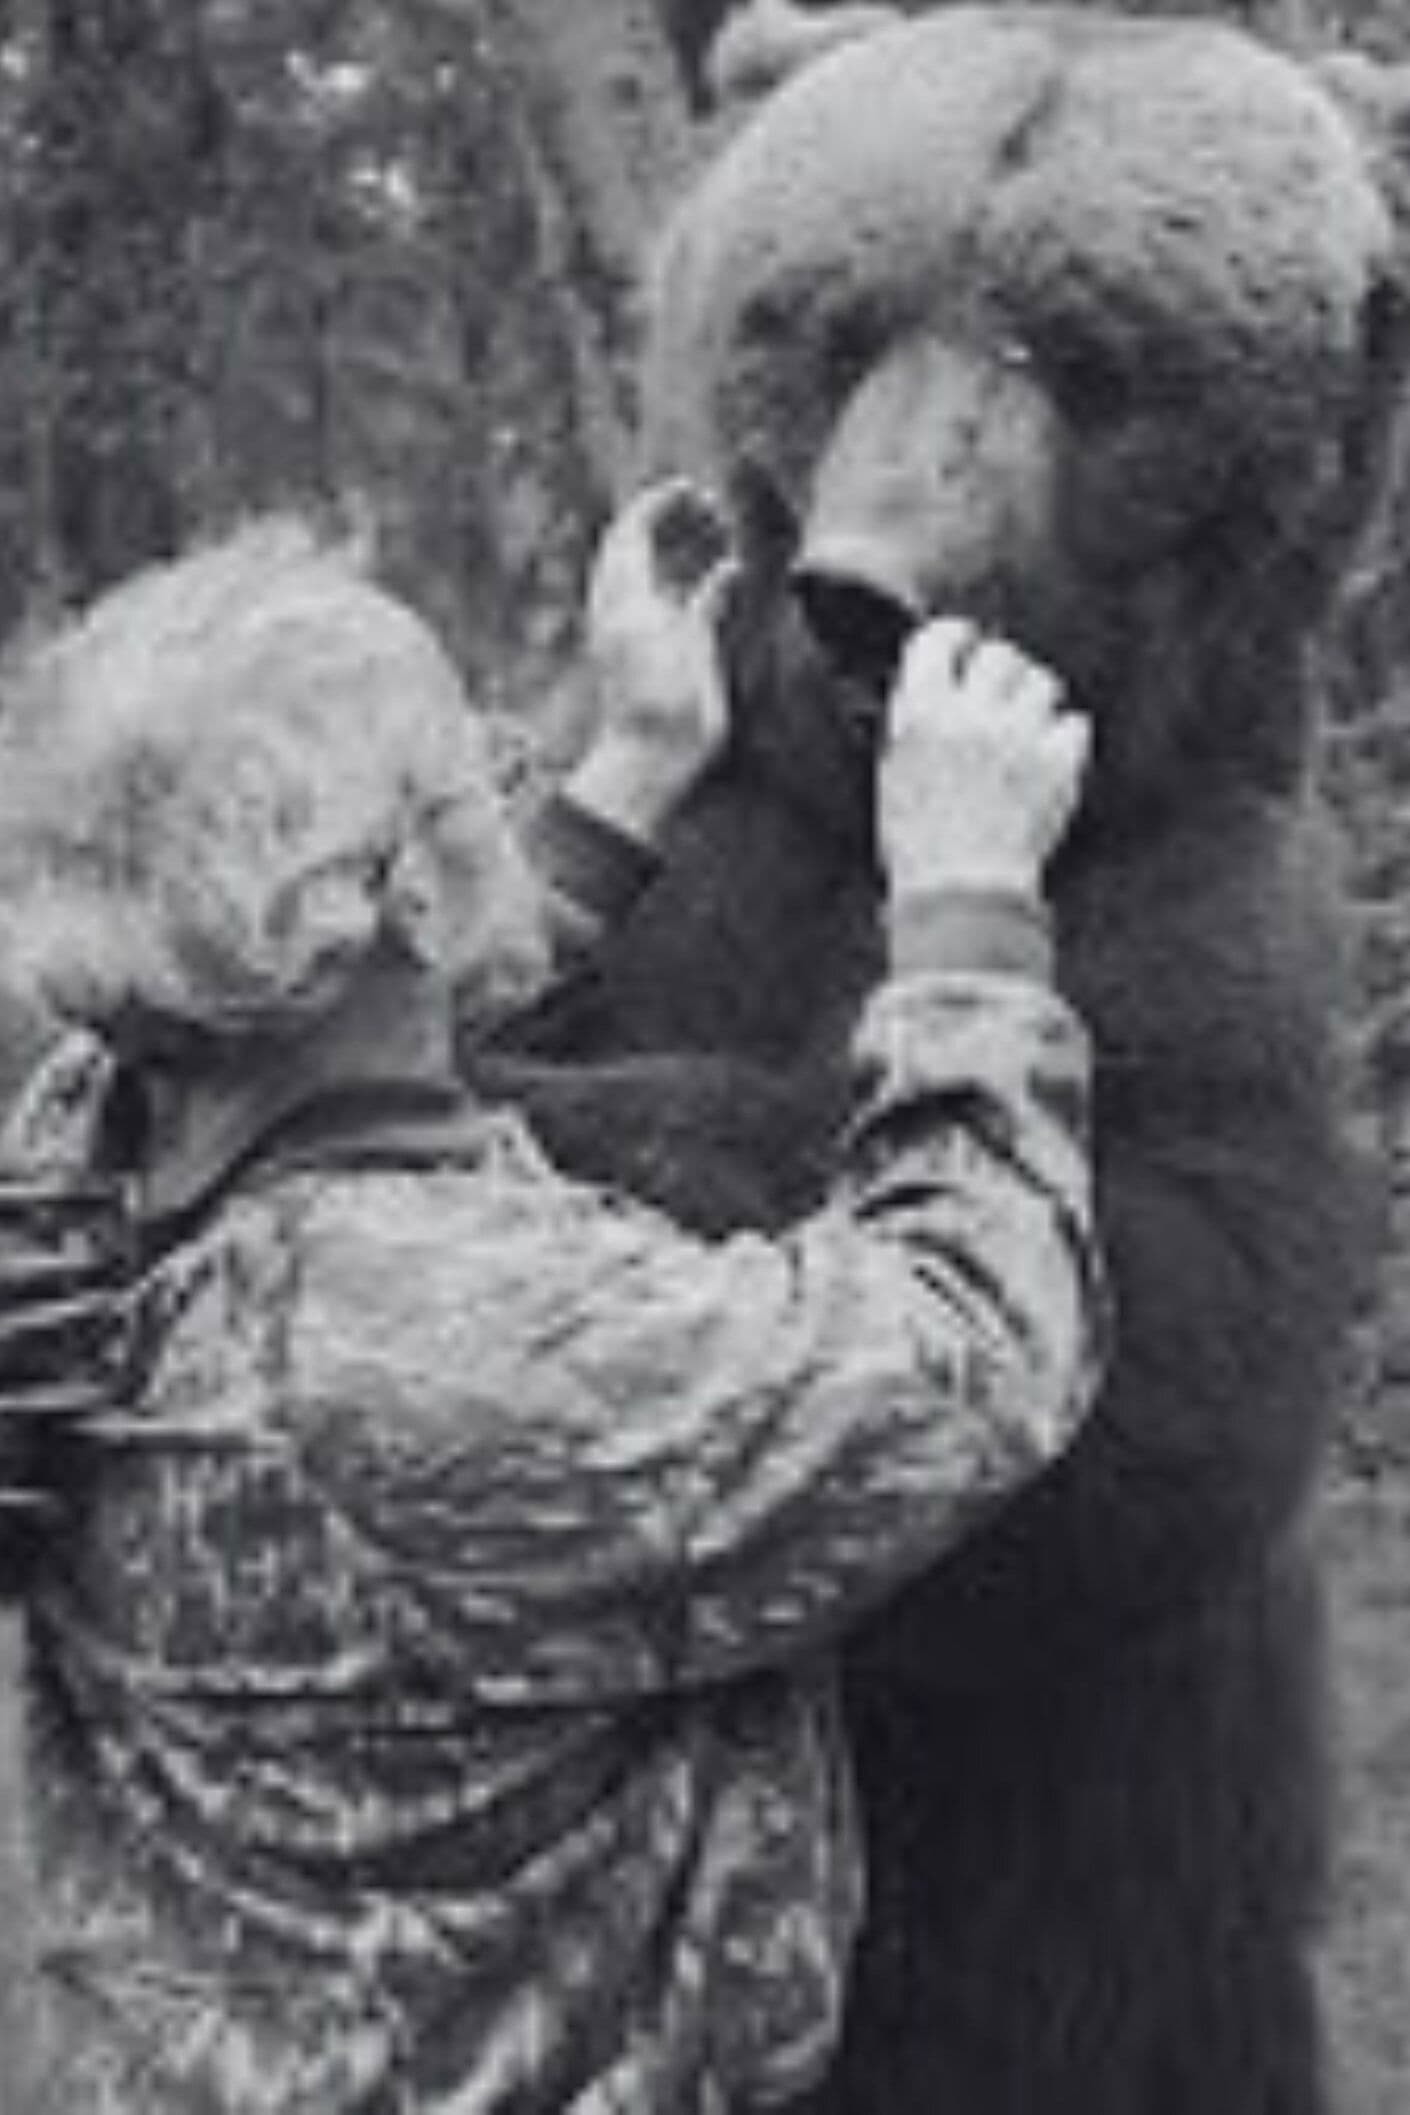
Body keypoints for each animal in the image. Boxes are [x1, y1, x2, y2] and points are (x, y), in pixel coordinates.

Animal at [481, 9, 1410, 2111]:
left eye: (1088, 353)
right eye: (831, 316)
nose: (861, 586)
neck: (861, 808)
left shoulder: (1218, 937)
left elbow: (1162, 1353)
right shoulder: (718, 854)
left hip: (1156, 1966)